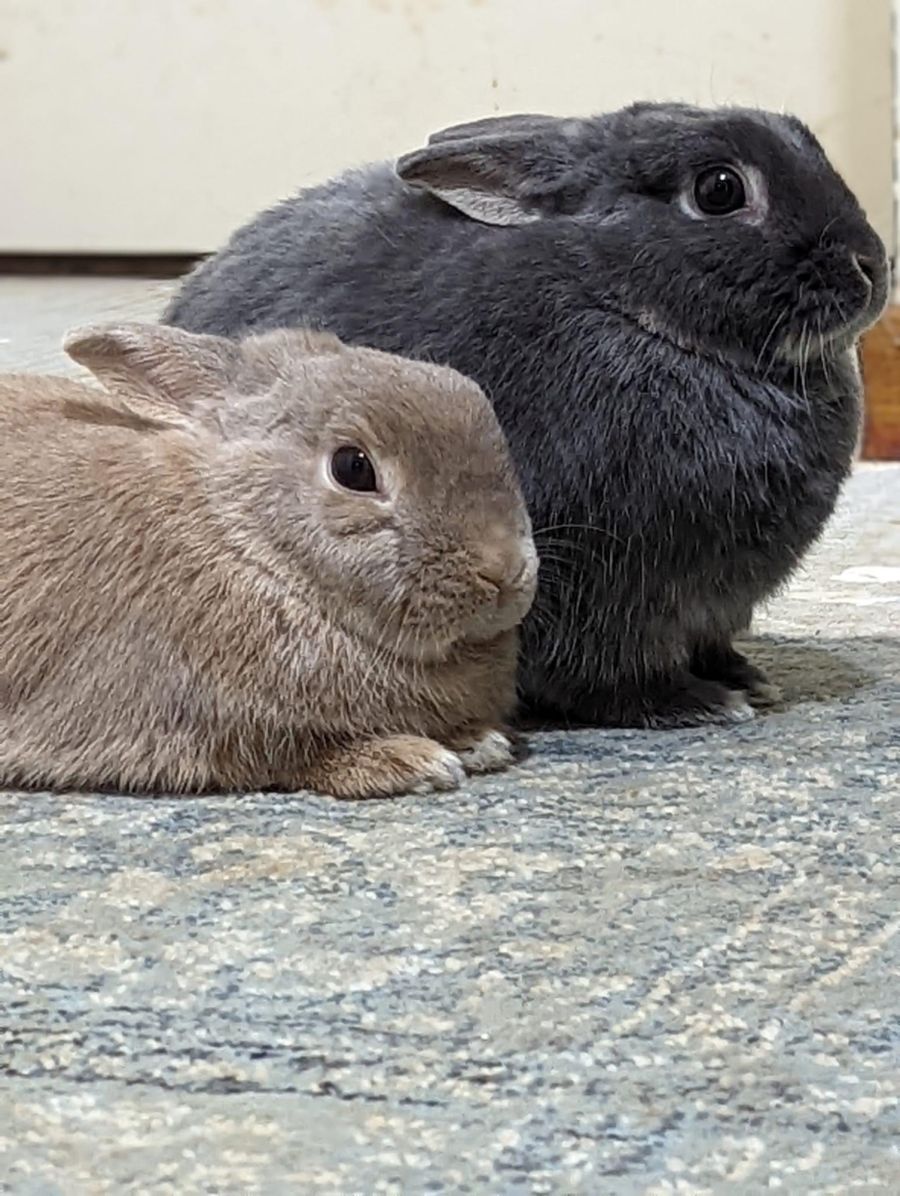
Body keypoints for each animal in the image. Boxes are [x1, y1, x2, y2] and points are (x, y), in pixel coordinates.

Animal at [0, 322, 537, 798]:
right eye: (352, 468)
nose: (504, 569)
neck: (245, 540)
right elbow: (294, 755)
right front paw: (412, 762)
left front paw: (478, 741)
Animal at [164, 101, 889, 728]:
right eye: (718, 190)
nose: (873, 266)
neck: (623, 301)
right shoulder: (592, 583)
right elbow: (605, 676)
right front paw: (696, 702)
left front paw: (745, 678)